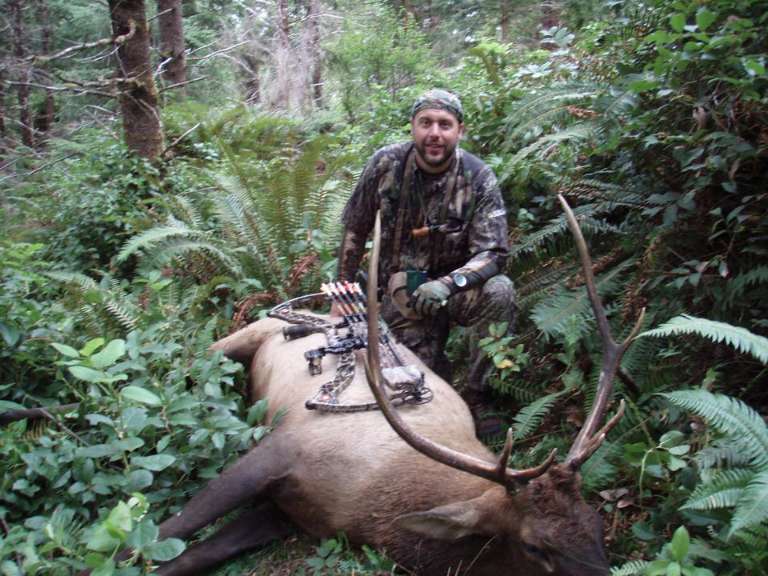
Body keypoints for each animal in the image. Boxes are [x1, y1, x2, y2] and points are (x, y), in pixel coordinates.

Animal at [143, 196, 644, 576]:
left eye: (596, 527)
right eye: (537, 547)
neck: (375, 510)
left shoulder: (289, 516)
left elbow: (188, 557)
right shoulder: (279, 450)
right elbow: (166, 530)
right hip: (235, 341)